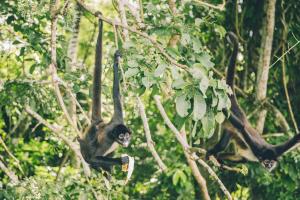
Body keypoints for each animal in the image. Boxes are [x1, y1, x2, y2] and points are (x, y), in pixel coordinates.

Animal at [78, 17, 132, 172]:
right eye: (121, 136)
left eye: (127, 135)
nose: (126, 140)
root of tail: (98, 123)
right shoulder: (108, 139)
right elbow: (93, 157)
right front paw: (122, 160)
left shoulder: (119, 117)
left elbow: (116, 95)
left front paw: (116, 61)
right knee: (89, 155)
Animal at [206, 32, 300, 171]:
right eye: (266, 161)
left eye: (271, 162)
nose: (269, 166)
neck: (261, 154)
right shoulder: (256, 147)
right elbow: (241, 127)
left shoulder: (277, 150)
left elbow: (296, 138)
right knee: (228, 140)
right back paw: (211, 153)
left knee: (241, 158)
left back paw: (219, 159)